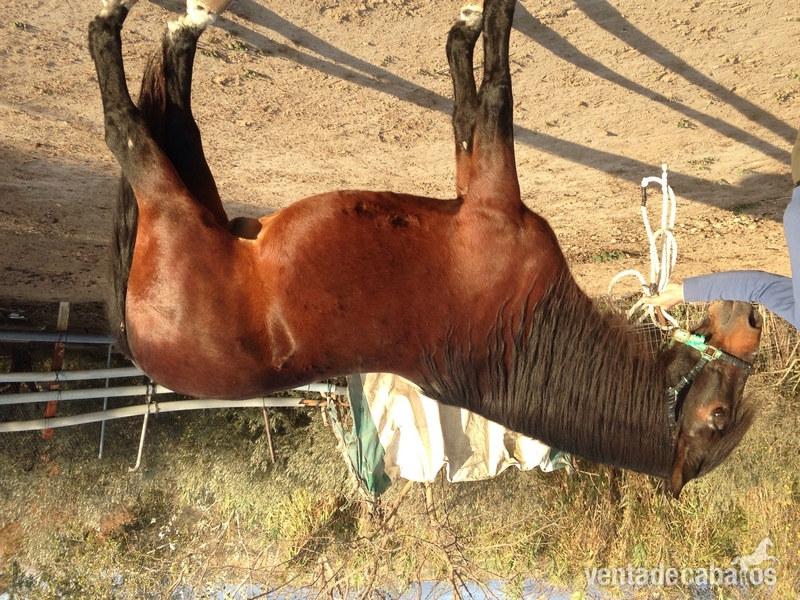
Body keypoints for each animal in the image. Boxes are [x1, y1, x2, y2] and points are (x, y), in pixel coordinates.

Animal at [88, 0, 762, 498]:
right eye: (720, 413)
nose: (752, 314)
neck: (528, 328)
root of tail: (136, 341)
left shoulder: (487, 185)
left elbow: (487, 89)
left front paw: (474, 19)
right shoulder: (480, 182)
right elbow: (482, 87)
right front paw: (472, 21)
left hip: (183, 205)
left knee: (141, 122)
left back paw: (164, 19)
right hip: (186, 198)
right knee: (149, 115)